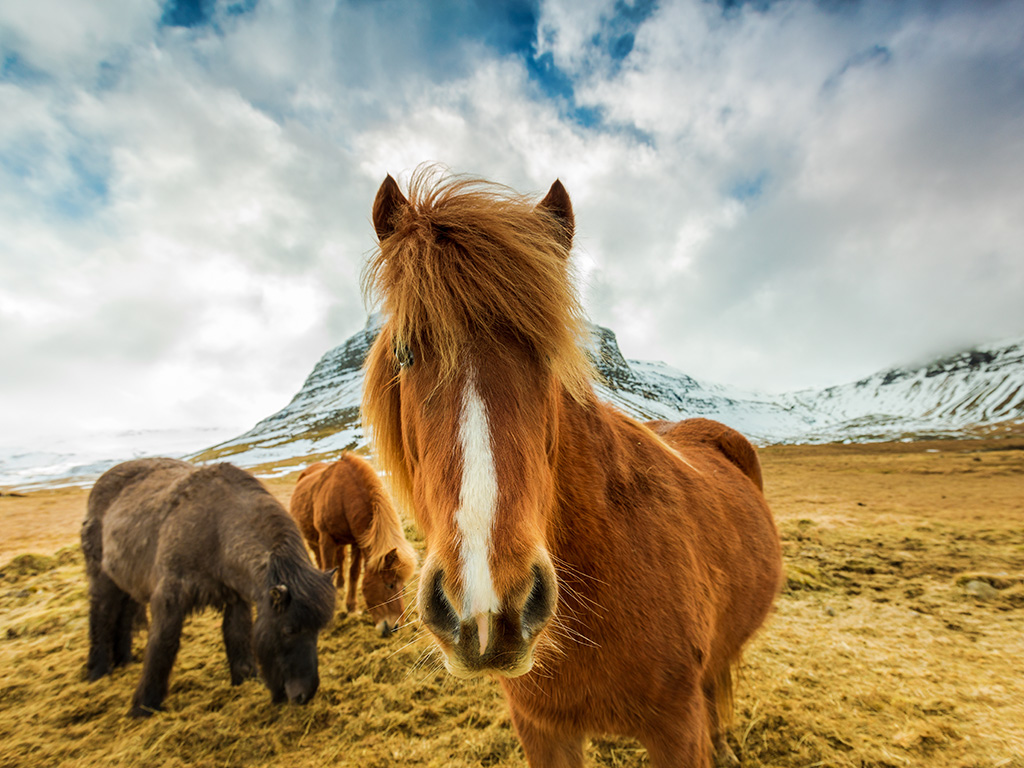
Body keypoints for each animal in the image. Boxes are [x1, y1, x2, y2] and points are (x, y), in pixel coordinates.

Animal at [82, 456, 335, 716]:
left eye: (318, 630)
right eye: (289, 630)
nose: (304, 695)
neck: (216, 528)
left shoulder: (236, 599)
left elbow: (237, 635)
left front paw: (244, 680)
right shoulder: (169, 598)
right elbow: (163, 646)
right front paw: (144, 706)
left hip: (128, 585)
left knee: (122, 618)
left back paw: (124, 660)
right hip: (103, 579)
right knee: (101, 616)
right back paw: (98, 671)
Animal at [288, 454, 415, 638]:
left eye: (403, 587)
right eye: (390, 584)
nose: (394, 627)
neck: (342, 496)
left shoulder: (358, 542)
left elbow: (354, 573)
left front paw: (352, 608)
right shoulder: (326, 539)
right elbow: (328, 569)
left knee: (340, 560)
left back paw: (341, 586)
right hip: (314, 541)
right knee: (319, 559)